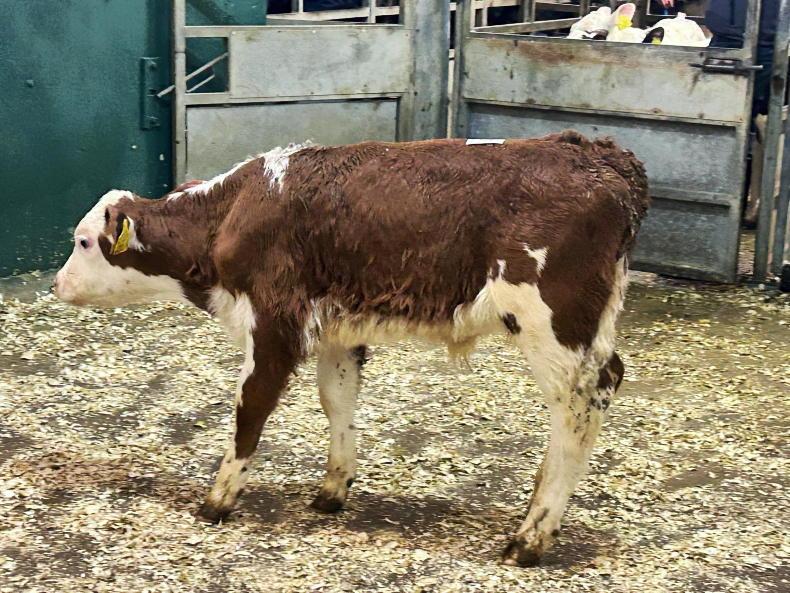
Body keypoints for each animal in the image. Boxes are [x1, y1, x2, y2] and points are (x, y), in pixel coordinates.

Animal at [53, 131, 649, 566]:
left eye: (83, 242)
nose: (56, 284)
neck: (234, 213)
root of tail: (598, 153)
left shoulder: (274, 325)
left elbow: (250, 410)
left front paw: (218, 499)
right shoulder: (336, 330)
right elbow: (337, 401)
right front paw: (333, 488)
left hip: (552, 325)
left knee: (577, 407)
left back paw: (531, 535)